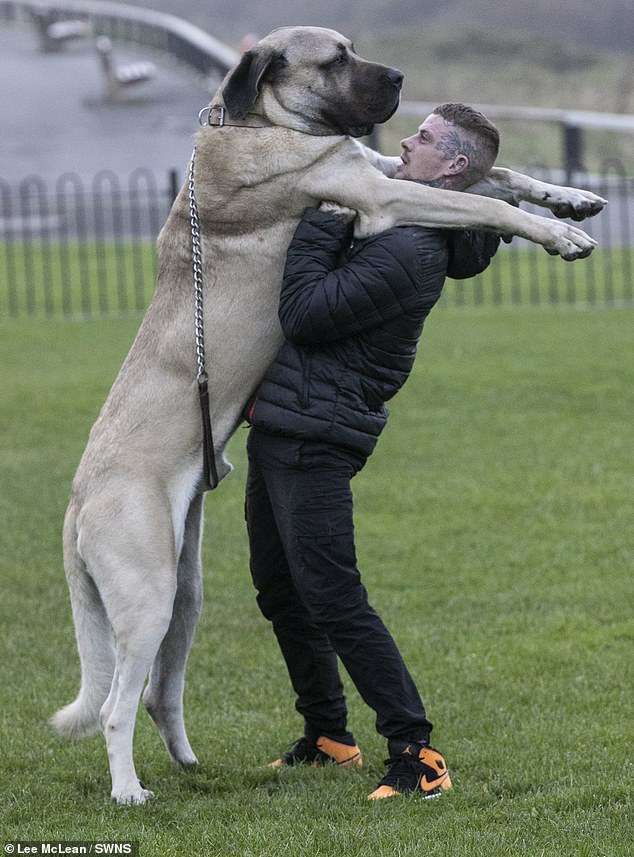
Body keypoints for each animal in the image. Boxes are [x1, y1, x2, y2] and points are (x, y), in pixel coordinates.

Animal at [51, 26, 604, 804]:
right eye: (336, 59)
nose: (399, 75)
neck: (259, 121)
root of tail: (76, 502)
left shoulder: (381, 169)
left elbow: (502, 175)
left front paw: (573, 197)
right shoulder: (378, 193)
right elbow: (486, 203)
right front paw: (560, 235)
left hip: (184, 592)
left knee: (160, 691)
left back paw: (190, 763)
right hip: (146, 592)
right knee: (112, 705)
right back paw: (129, 790)